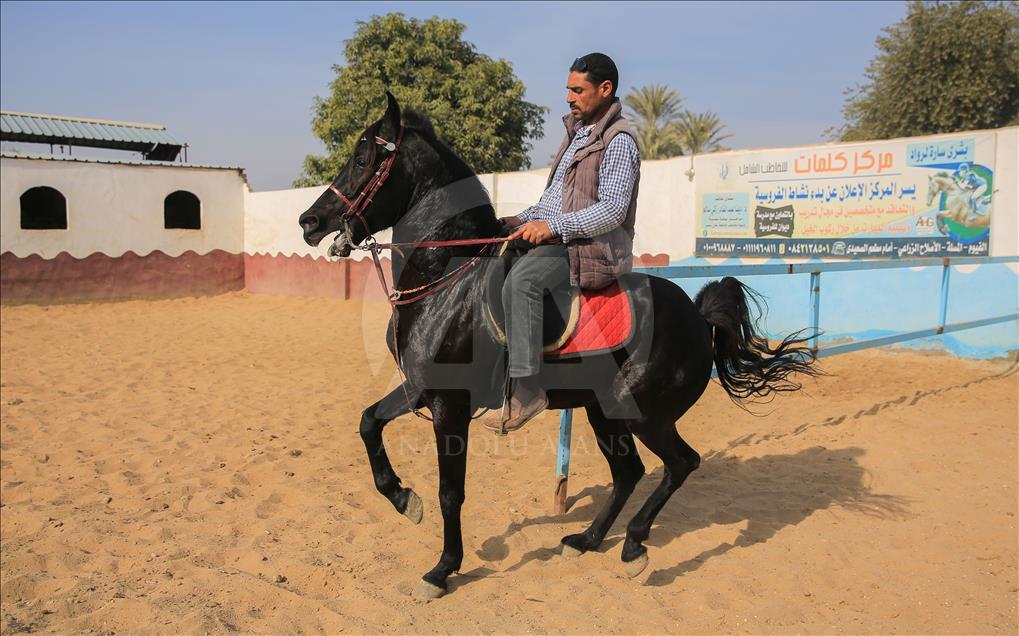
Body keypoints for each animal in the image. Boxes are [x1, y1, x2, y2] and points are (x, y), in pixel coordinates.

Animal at [297, 91, 819, 599]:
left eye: (362, 157)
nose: (310, 220)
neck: (448, 275)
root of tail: (696, 314)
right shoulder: (423, 387)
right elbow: (369, 423)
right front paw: (404, 499)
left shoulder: (449, 402)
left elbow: (451, 492)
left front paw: (442, 568)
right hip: (604, 412)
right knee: (629, 473)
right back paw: (587, 540)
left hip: (644, 415)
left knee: (680, 464)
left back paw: (633, 545)